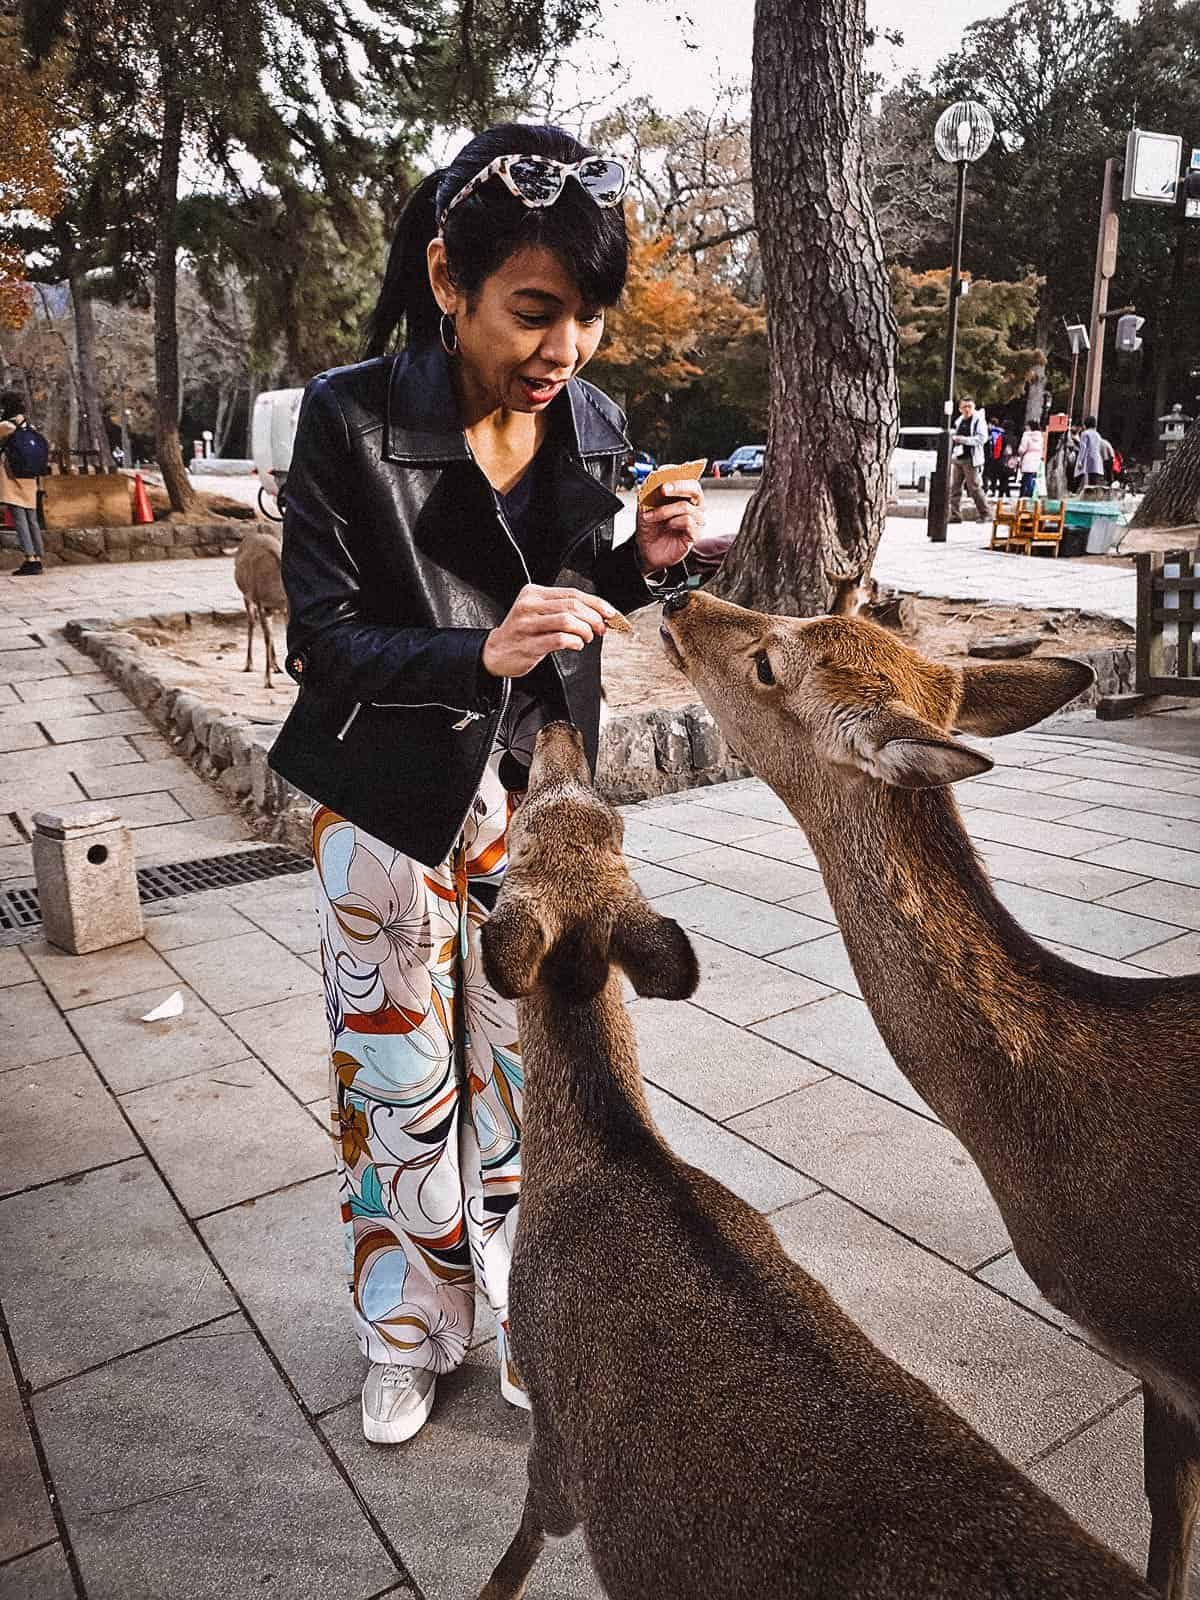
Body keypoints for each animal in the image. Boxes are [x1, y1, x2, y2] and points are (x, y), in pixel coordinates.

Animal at [236, 528, 289, 684]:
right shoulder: (260, 603)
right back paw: (249, 665)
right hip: (246, 596)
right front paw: (268, 681)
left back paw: (275, 666)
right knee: (251, 623)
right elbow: (267, 637)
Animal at [473, 723, 1158, 1600]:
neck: (604, 1153)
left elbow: (528, 1530)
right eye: (603, 820)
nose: (556, 734)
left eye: (520, 837)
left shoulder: (551, 1413)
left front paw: (491, 1584)